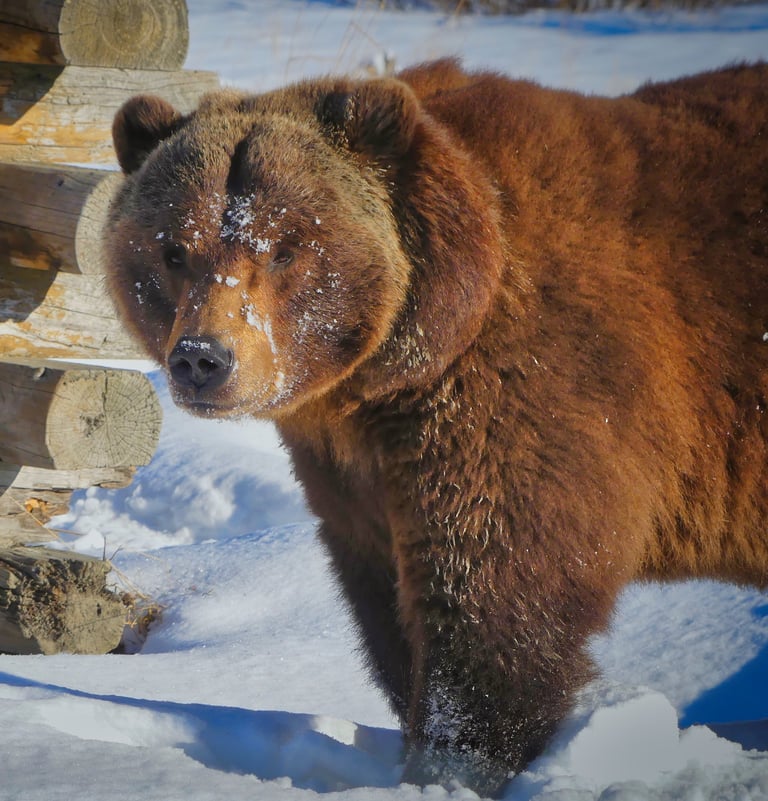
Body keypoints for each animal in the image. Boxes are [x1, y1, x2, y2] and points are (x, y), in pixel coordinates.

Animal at [105, 59, 768, 796]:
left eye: (283, 248)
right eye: (172, 249)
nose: (202, 358)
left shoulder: (520, 397)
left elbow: (490, 598)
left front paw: (455, 763)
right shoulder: (353, 472)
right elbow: (385, 602)